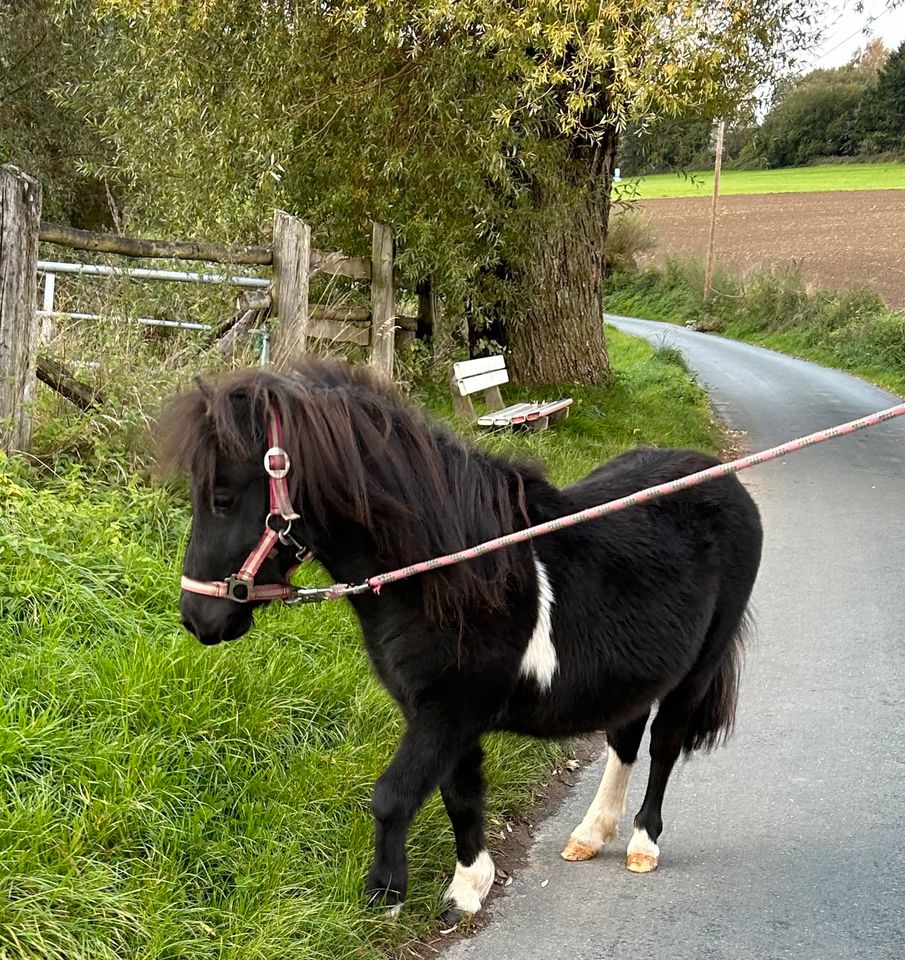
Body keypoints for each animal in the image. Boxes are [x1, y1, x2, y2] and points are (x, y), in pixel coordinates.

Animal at [164, 362, 764, 924]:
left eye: (222, 498)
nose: (198, 618)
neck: (455, 574)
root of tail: (726, 481)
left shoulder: (449, 713)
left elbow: (393, 797)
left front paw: (386, 896)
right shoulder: (438, 716)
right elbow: (461, 795)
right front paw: (469, 887)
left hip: (697, 669)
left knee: (664, 745)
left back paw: (642, 842)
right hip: (636, 672)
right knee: (624, 736)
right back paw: (591, 834)